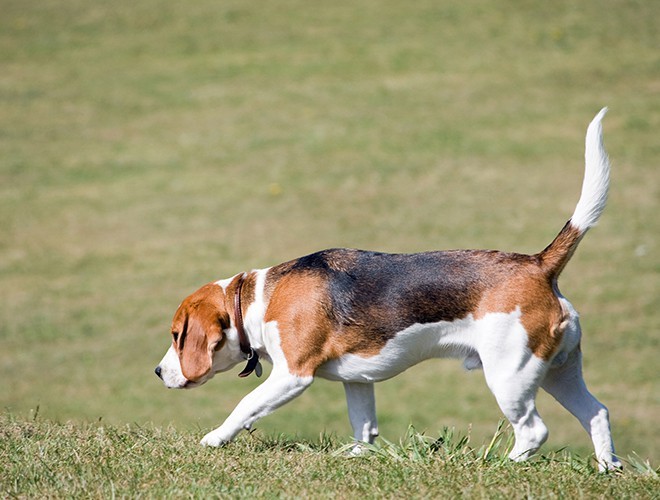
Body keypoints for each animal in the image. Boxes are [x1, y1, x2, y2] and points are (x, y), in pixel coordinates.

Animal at [157, 109, 620, 472]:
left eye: (178, 336)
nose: (159, 372)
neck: (257, 298)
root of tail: (538, 264)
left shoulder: (292, 375)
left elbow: (245, 406)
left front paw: (214, 438)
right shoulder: (357, 380)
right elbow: (364, 425)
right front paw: (357, 455)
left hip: (511, 374)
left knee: (534, 430)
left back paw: (502, 465)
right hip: (559, 369)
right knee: (596, 412)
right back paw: (607, 468)